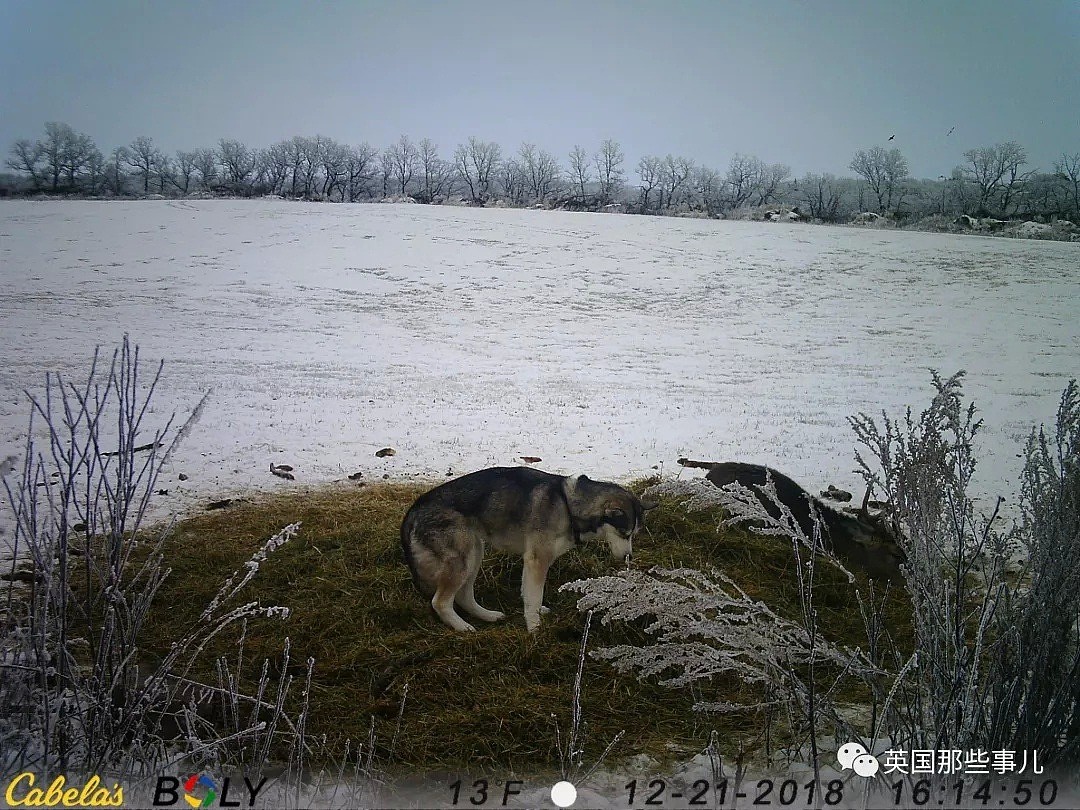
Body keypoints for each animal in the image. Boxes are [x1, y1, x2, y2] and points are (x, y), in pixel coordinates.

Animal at [401, 468, 652, 635]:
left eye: (634, 534)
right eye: (624, 533)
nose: (629, 557)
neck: (569, 506)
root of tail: (415, 508)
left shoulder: (531, 562)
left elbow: (528, 593)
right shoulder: (537, 560)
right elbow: (534, 596)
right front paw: (534, 628)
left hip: (475, 552)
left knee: (463, 596)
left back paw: (488, 615)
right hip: (462, 560)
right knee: (440, 602)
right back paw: (462, 627)